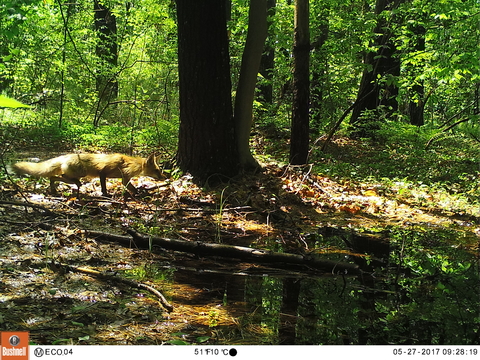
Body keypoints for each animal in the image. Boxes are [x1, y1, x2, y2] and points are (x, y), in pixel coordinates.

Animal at [11, 152, 167, 197]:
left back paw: (54, 190)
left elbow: (132, 188)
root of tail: (66, 156)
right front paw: (105, 195)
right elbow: (104, 187)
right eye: (157, 171)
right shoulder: (103, 172)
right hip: (78, 174)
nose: (166, 178)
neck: (127, 165)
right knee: (54, 176)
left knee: (53, 177)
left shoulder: (124, 179)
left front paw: (142, 193)